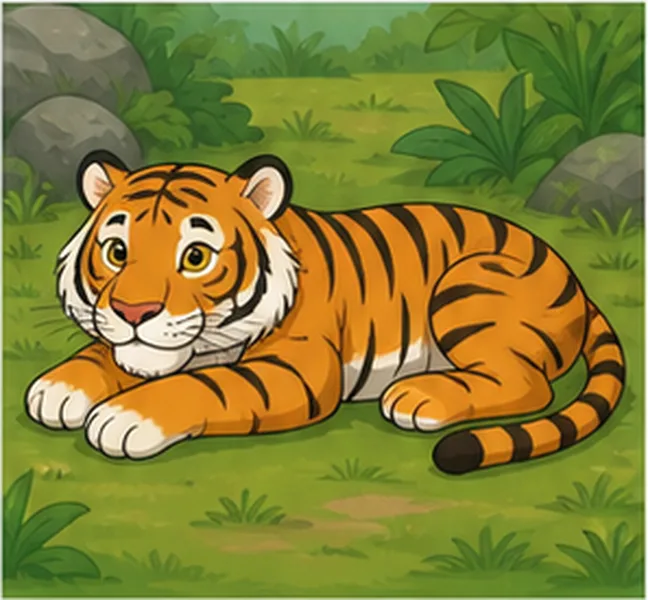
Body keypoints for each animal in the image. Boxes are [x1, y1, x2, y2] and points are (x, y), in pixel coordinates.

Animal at [24, 150, 626, 474]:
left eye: (195, 257)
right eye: (116, 251)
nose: (134, 310)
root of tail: (571, 272)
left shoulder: (299, 369)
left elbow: (207, 386)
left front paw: (125, 417)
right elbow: (106, 353)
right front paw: (59, 387)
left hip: (467, 283)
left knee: (528, 384)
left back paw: (420, 396)